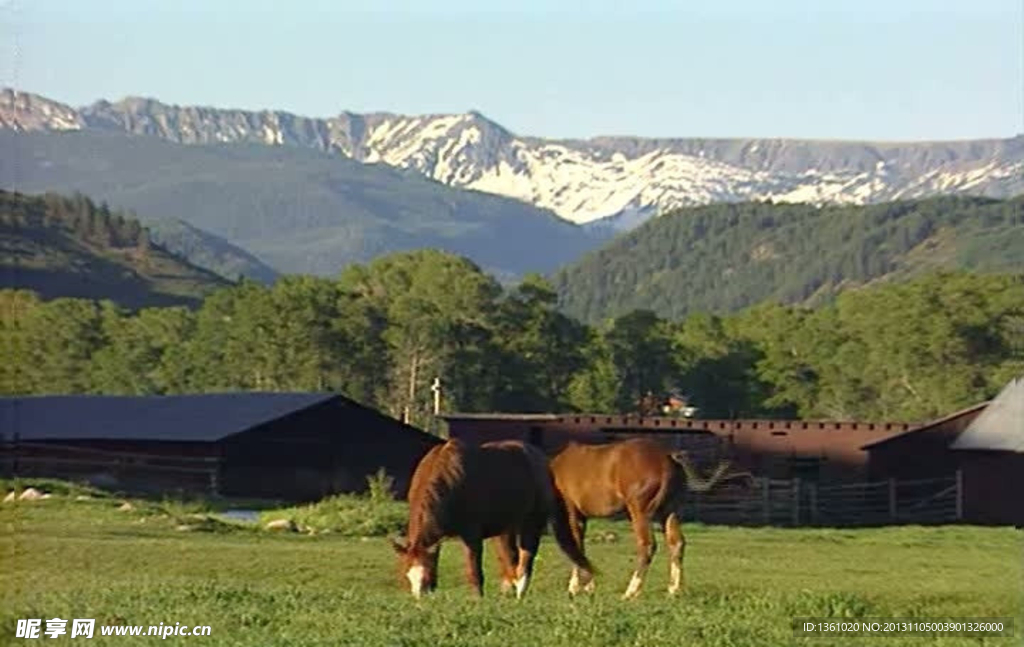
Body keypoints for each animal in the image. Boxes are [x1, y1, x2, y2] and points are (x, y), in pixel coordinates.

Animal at [391, 438, 598, 597]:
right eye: (407, 576)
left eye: (425, 577)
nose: (420, 599)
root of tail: (542, 461)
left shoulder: (472, 535)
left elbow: (474, 570)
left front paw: (477, 599)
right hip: (507, 528)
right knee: (510, 558)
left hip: (531, 523)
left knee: (526, 558)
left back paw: (520, 592)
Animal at [552, 438, 753, 597]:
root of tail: (668, 456)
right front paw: (587, 586)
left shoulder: (572, 513)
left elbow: (576, 546)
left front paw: (576, 588)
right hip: (669, 512)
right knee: (677, 543)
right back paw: (673, 590)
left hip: (640, 512)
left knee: (647, 545)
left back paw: (631, 592)